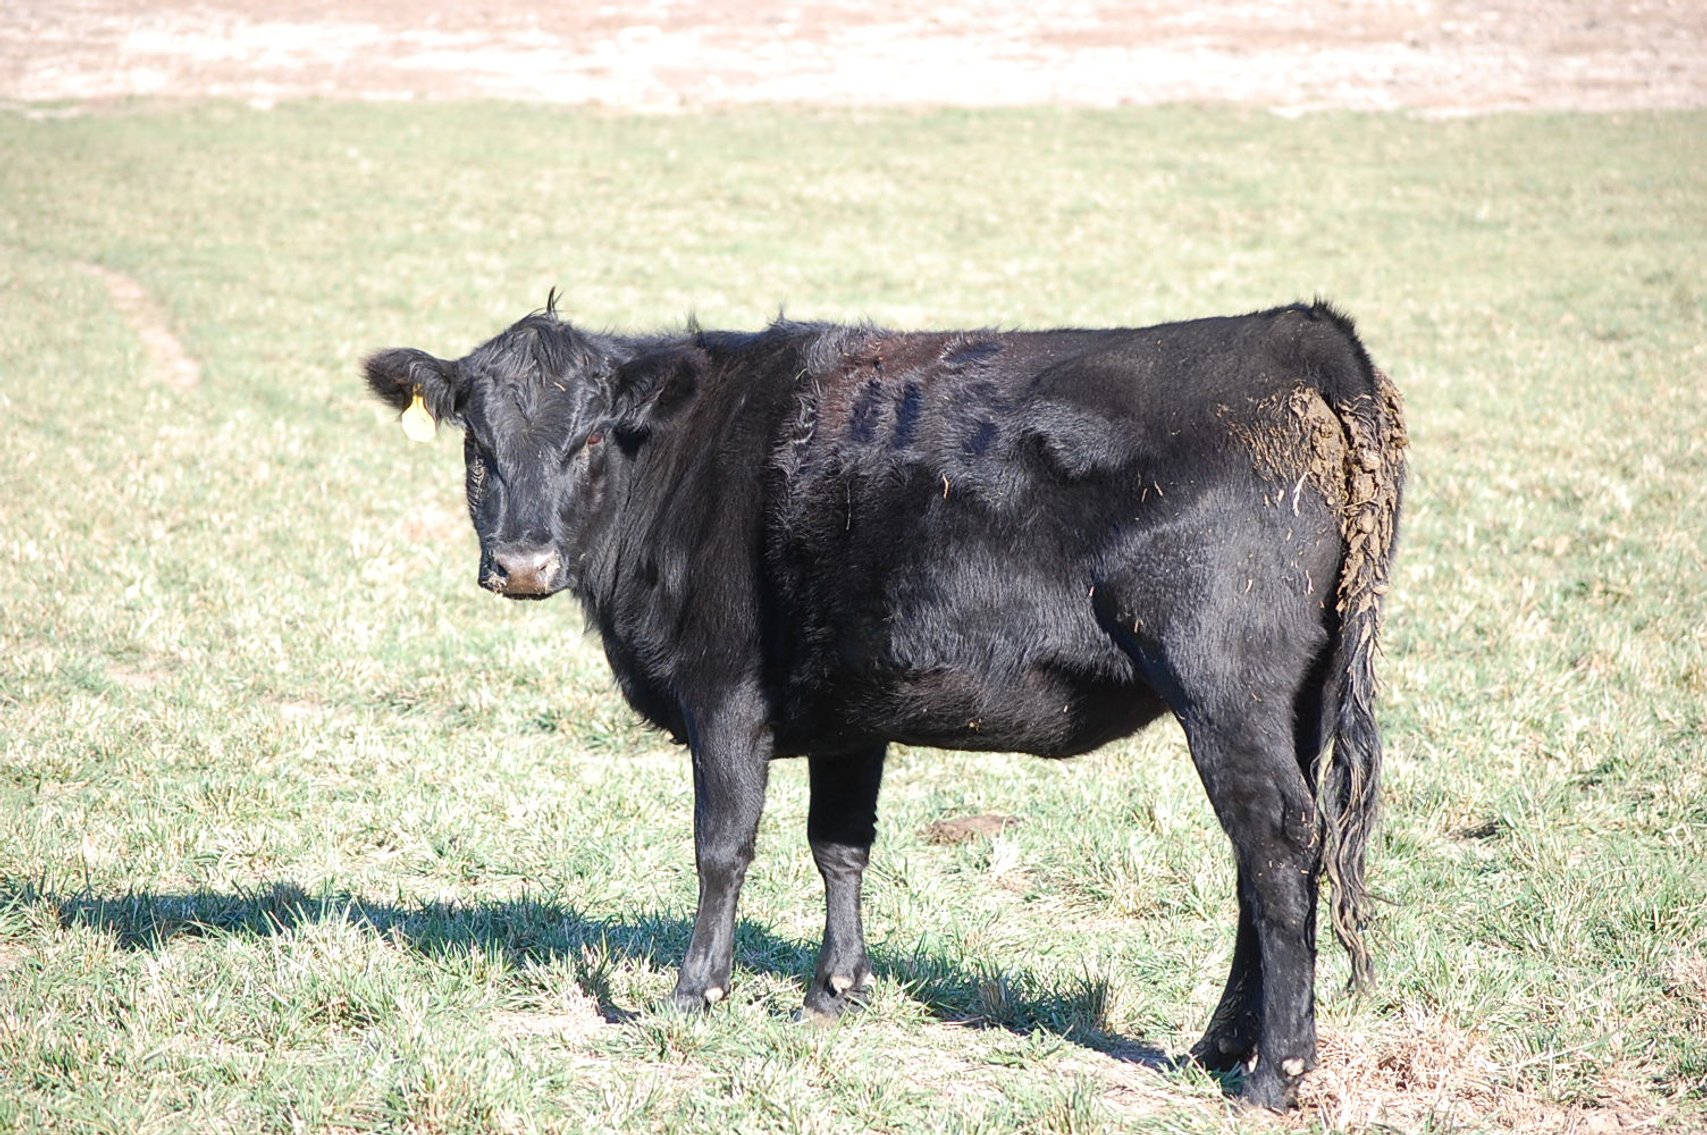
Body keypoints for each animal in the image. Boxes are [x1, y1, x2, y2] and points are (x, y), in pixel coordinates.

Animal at [364, 297, 1406, 1109]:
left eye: (587, 437)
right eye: (478, 443)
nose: (522, 564)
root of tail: (1297, 331)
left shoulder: (723, 693)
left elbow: (721, 846)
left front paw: (696, 992)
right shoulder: (847, 709)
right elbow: (840, 845)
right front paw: (835, 990)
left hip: (1224, 686)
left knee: (1275, 845)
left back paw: (1274, 1071)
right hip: (1288, 700)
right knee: (1261, 864)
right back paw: (1216, 1046)